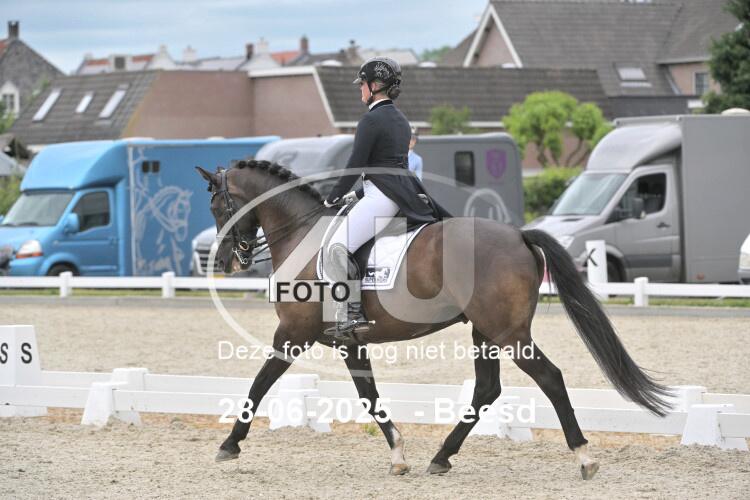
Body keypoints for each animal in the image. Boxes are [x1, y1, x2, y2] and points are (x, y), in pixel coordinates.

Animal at [195, 160, 671, 480]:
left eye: (218, 205)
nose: (224, 261)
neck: (302, 235)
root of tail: (518, 234)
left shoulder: (293, 333)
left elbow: (260, 384)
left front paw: (229, 444)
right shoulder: (350, 342)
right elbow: (369, 396)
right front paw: (399, 456)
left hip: (509, 334)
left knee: (549, 378)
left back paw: (585, 457)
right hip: (485, 332)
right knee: (487, 389)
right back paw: (441, 457)